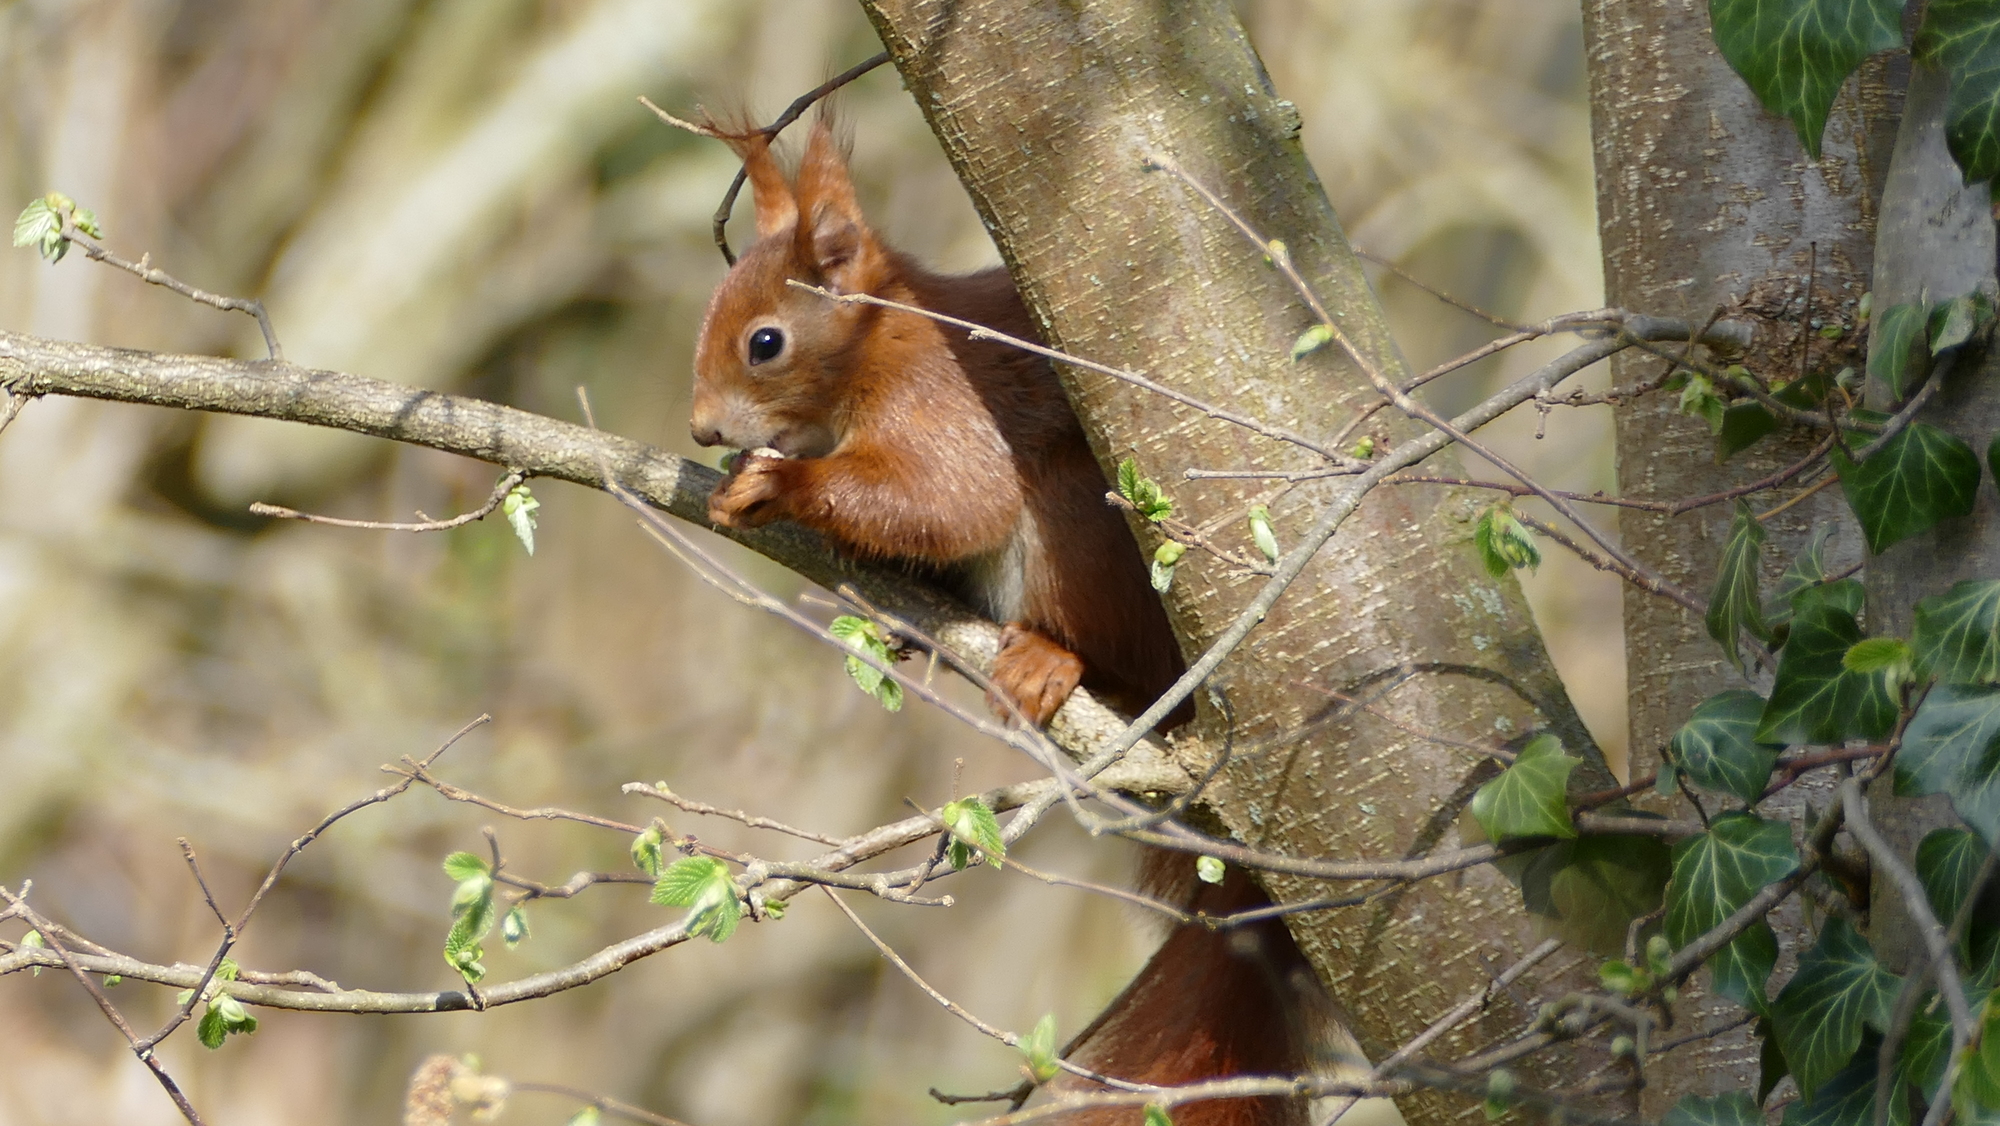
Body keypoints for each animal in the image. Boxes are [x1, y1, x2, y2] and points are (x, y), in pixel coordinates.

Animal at [689, 119, 1326, 1125]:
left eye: (765, 342)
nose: (703, 429)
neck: (880, 340)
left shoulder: (942, 402)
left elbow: (950, 501)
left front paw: (779, 487)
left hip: (1079, 536)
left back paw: (1049, 663)